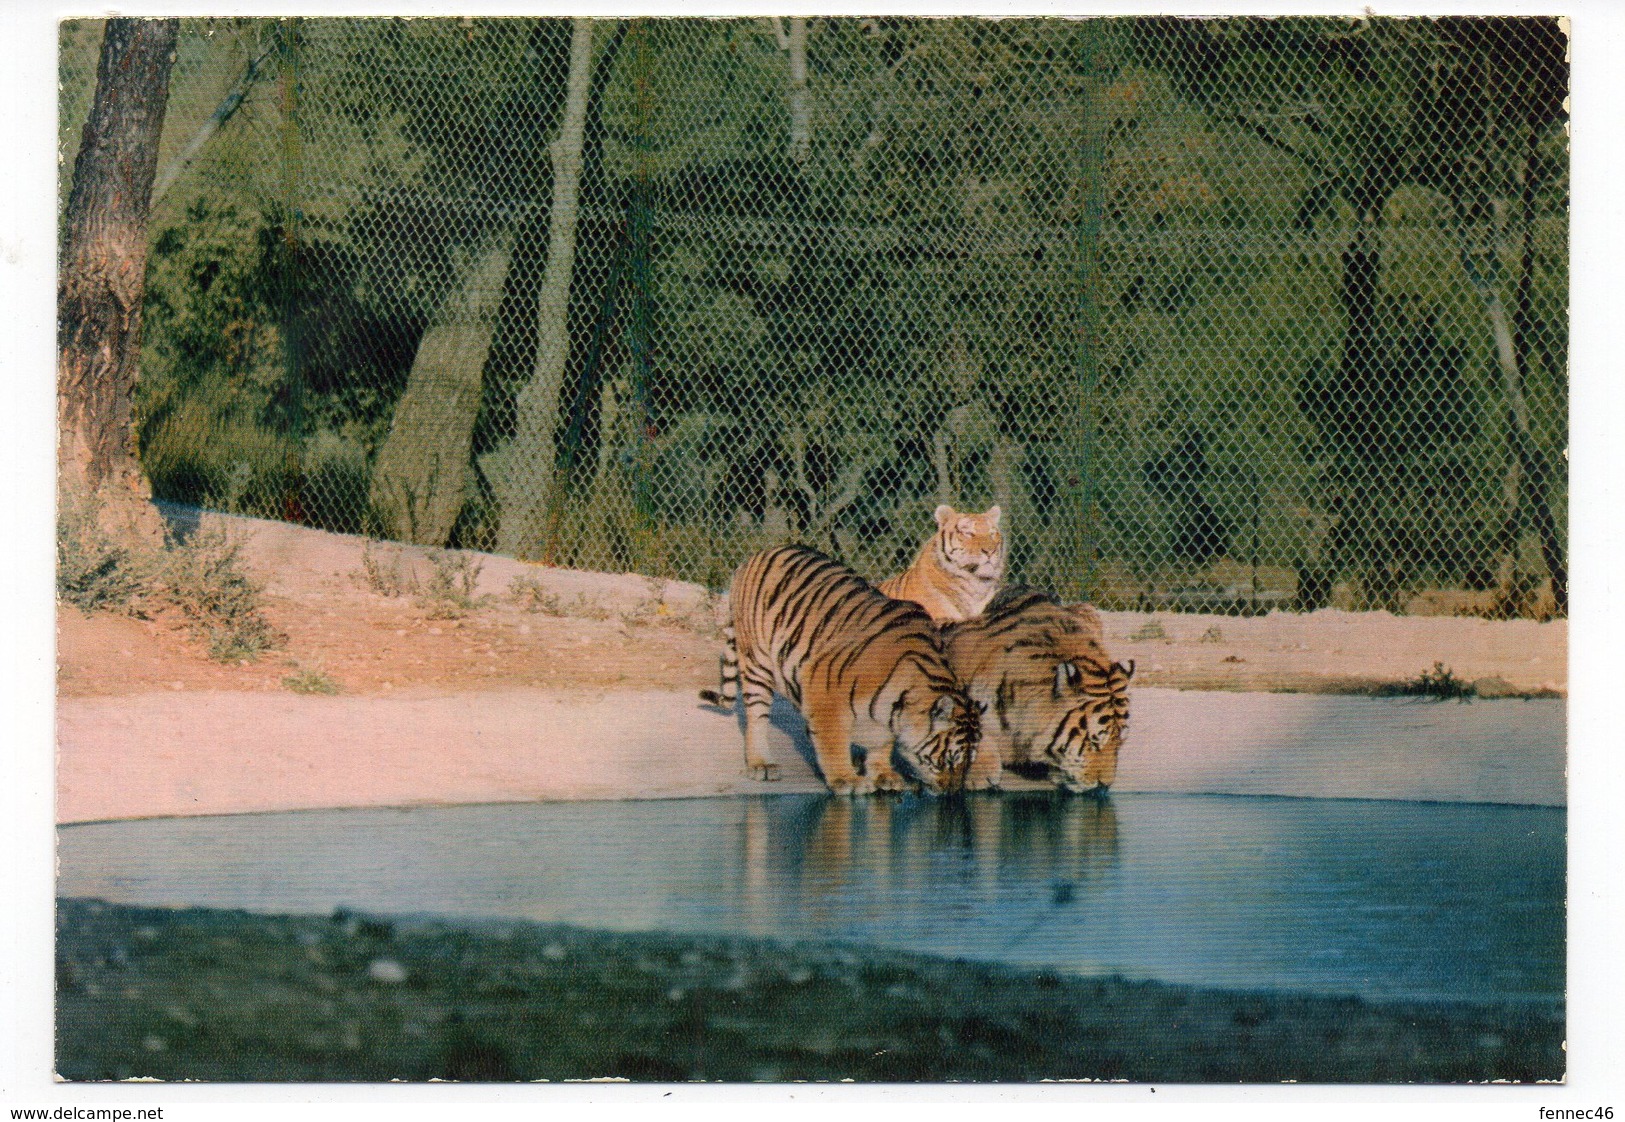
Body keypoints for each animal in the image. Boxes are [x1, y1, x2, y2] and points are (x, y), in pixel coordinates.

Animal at [698, 543, 975, 796]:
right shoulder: (823, 689)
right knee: (757, 716)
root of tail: (757, 554)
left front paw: (883, 774)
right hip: (757, 662)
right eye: (950, 760)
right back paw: (762, 764)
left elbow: (881, 744)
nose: (953, 793)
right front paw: (847, 779)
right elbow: (833, 741)